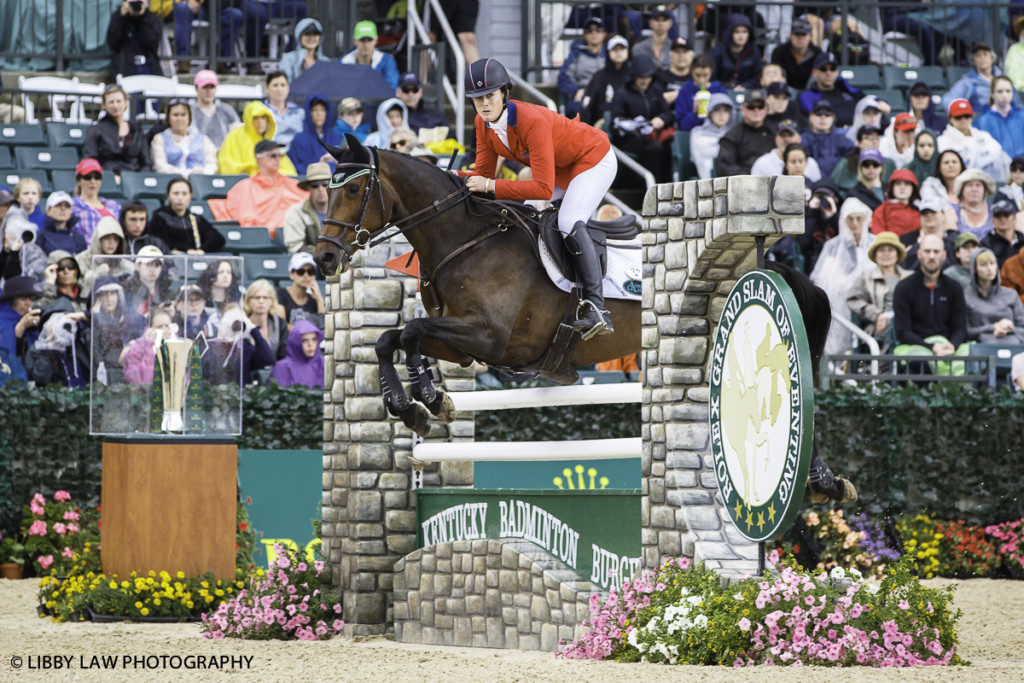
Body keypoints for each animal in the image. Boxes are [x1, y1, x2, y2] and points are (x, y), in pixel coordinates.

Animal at [311, 133, 638, 438]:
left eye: (353, 189)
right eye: (326, 190)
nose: (324, 257)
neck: (465, 241)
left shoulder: (491, 337)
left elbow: (411, 330)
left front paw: (429, 397)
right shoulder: (461, 348)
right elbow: (387, 340)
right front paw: (409, 409)